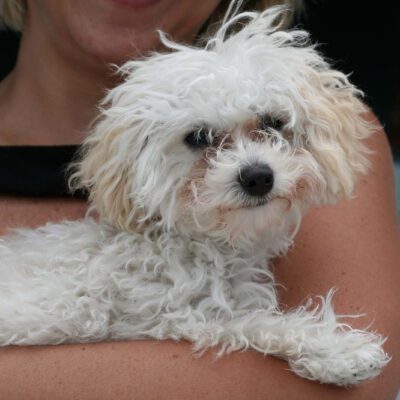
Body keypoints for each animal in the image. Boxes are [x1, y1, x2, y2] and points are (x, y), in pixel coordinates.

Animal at [0, 2, 390, 384]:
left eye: (273, 123)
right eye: (199, 137)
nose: (257, 177)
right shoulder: (169, 315)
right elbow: (253, 322)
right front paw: (337, 352)